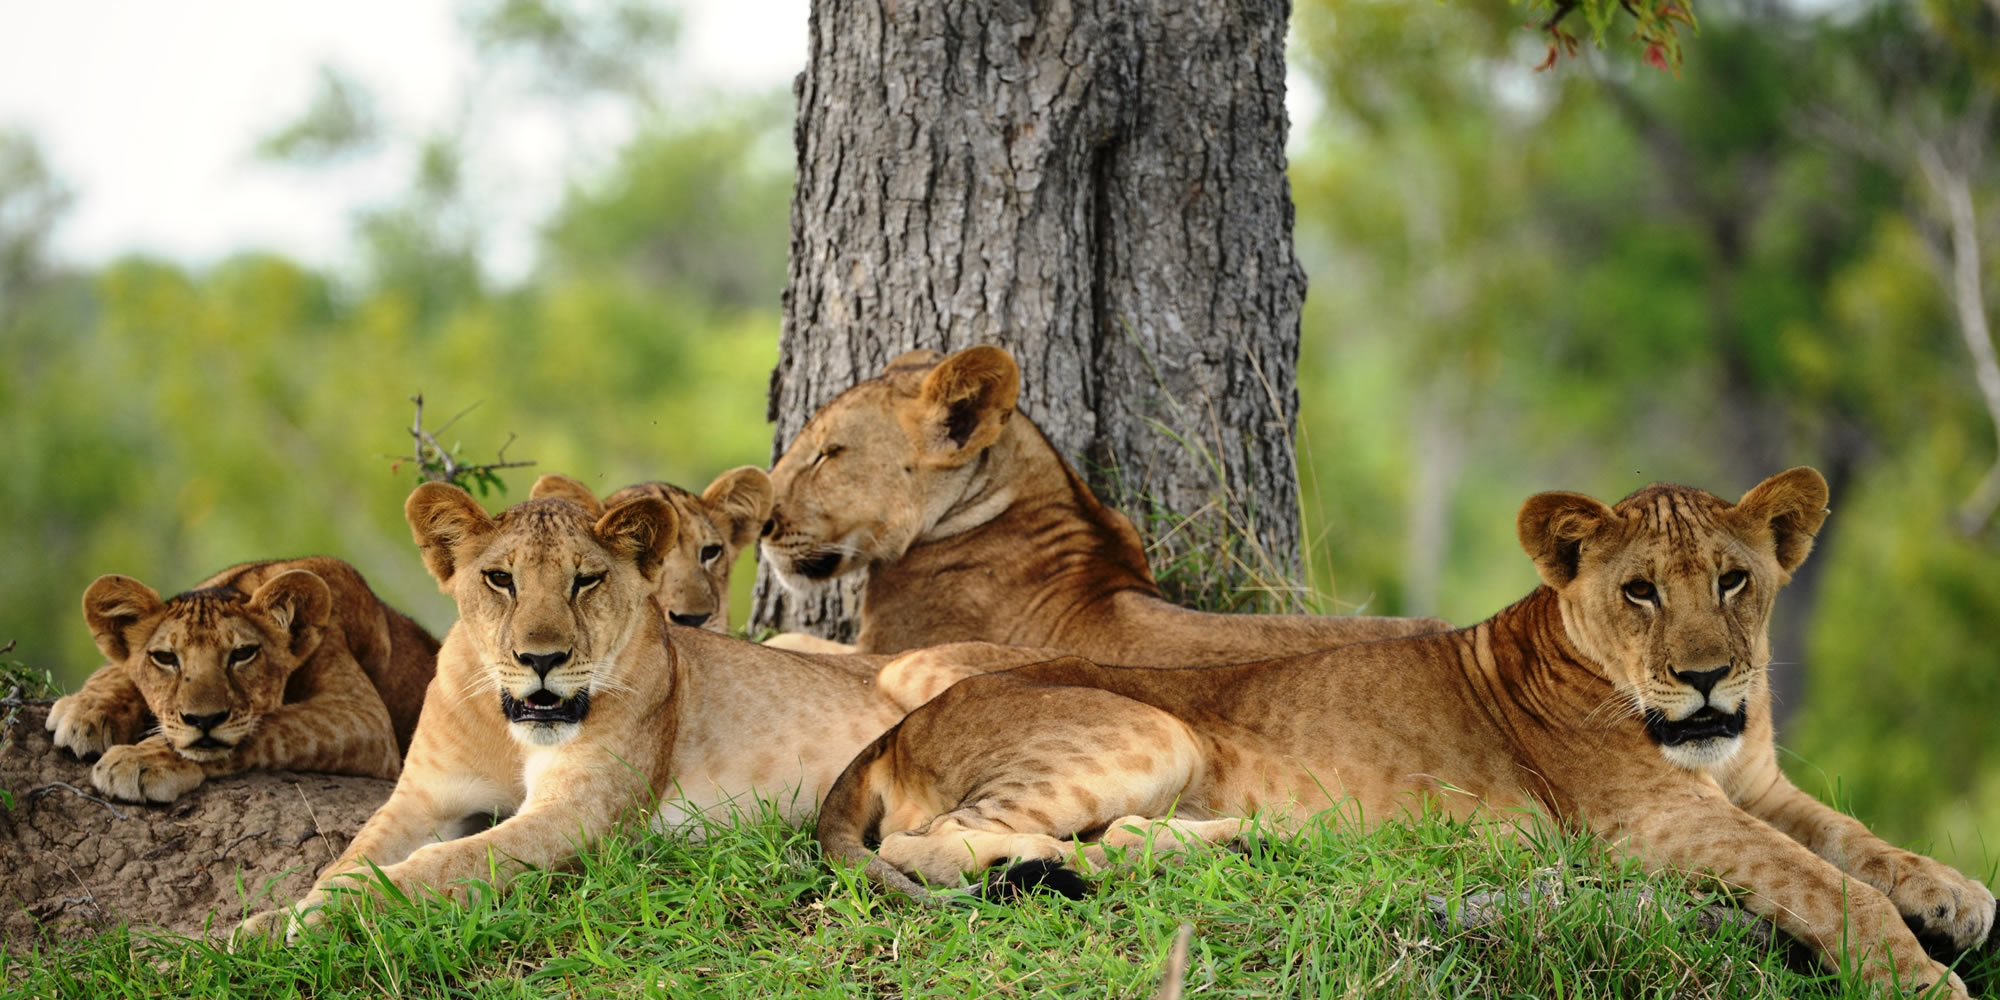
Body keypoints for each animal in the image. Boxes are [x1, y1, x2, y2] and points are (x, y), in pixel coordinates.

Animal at [45, 557, 438, 803]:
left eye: (242, 654)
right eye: (166, 658)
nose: (203, 720)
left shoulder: (364, 717)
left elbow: (272, 725)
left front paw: (141, 759)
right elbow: (116, 670)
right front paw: (87, 711)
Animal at [818, 468, 1995, 999]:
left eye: (1733, 579)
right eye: (1640, 591)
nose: (1707, 677)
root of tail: (899, 727)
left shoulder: (1750, 784)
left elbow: (1853, 839)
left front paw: (1953, 894)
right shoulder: (1656, 816)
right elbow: (1822, 882)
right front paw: (1923, 979)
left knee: (1128, 840)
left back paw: (1238, 846)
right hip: (1146, 731)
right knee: (930, 843)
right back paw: (1042, 871)